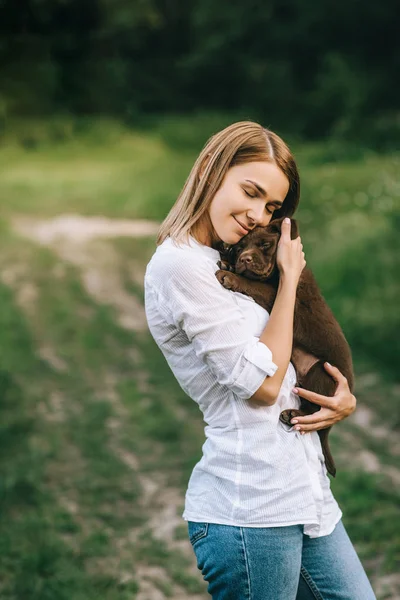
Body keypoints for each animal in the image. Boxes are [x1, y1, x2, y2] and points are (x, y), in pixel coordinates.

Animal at [214, 217, 354, 478]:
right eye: (239, 248)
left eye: (265, 244)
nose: (244, 259)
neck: (277, 275)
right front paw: (227, 263)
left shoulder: (284, 298)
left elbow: (256, 285)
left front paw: (230, 275)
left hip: (321, 370)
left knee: (315, 409)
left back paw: (293, 414)